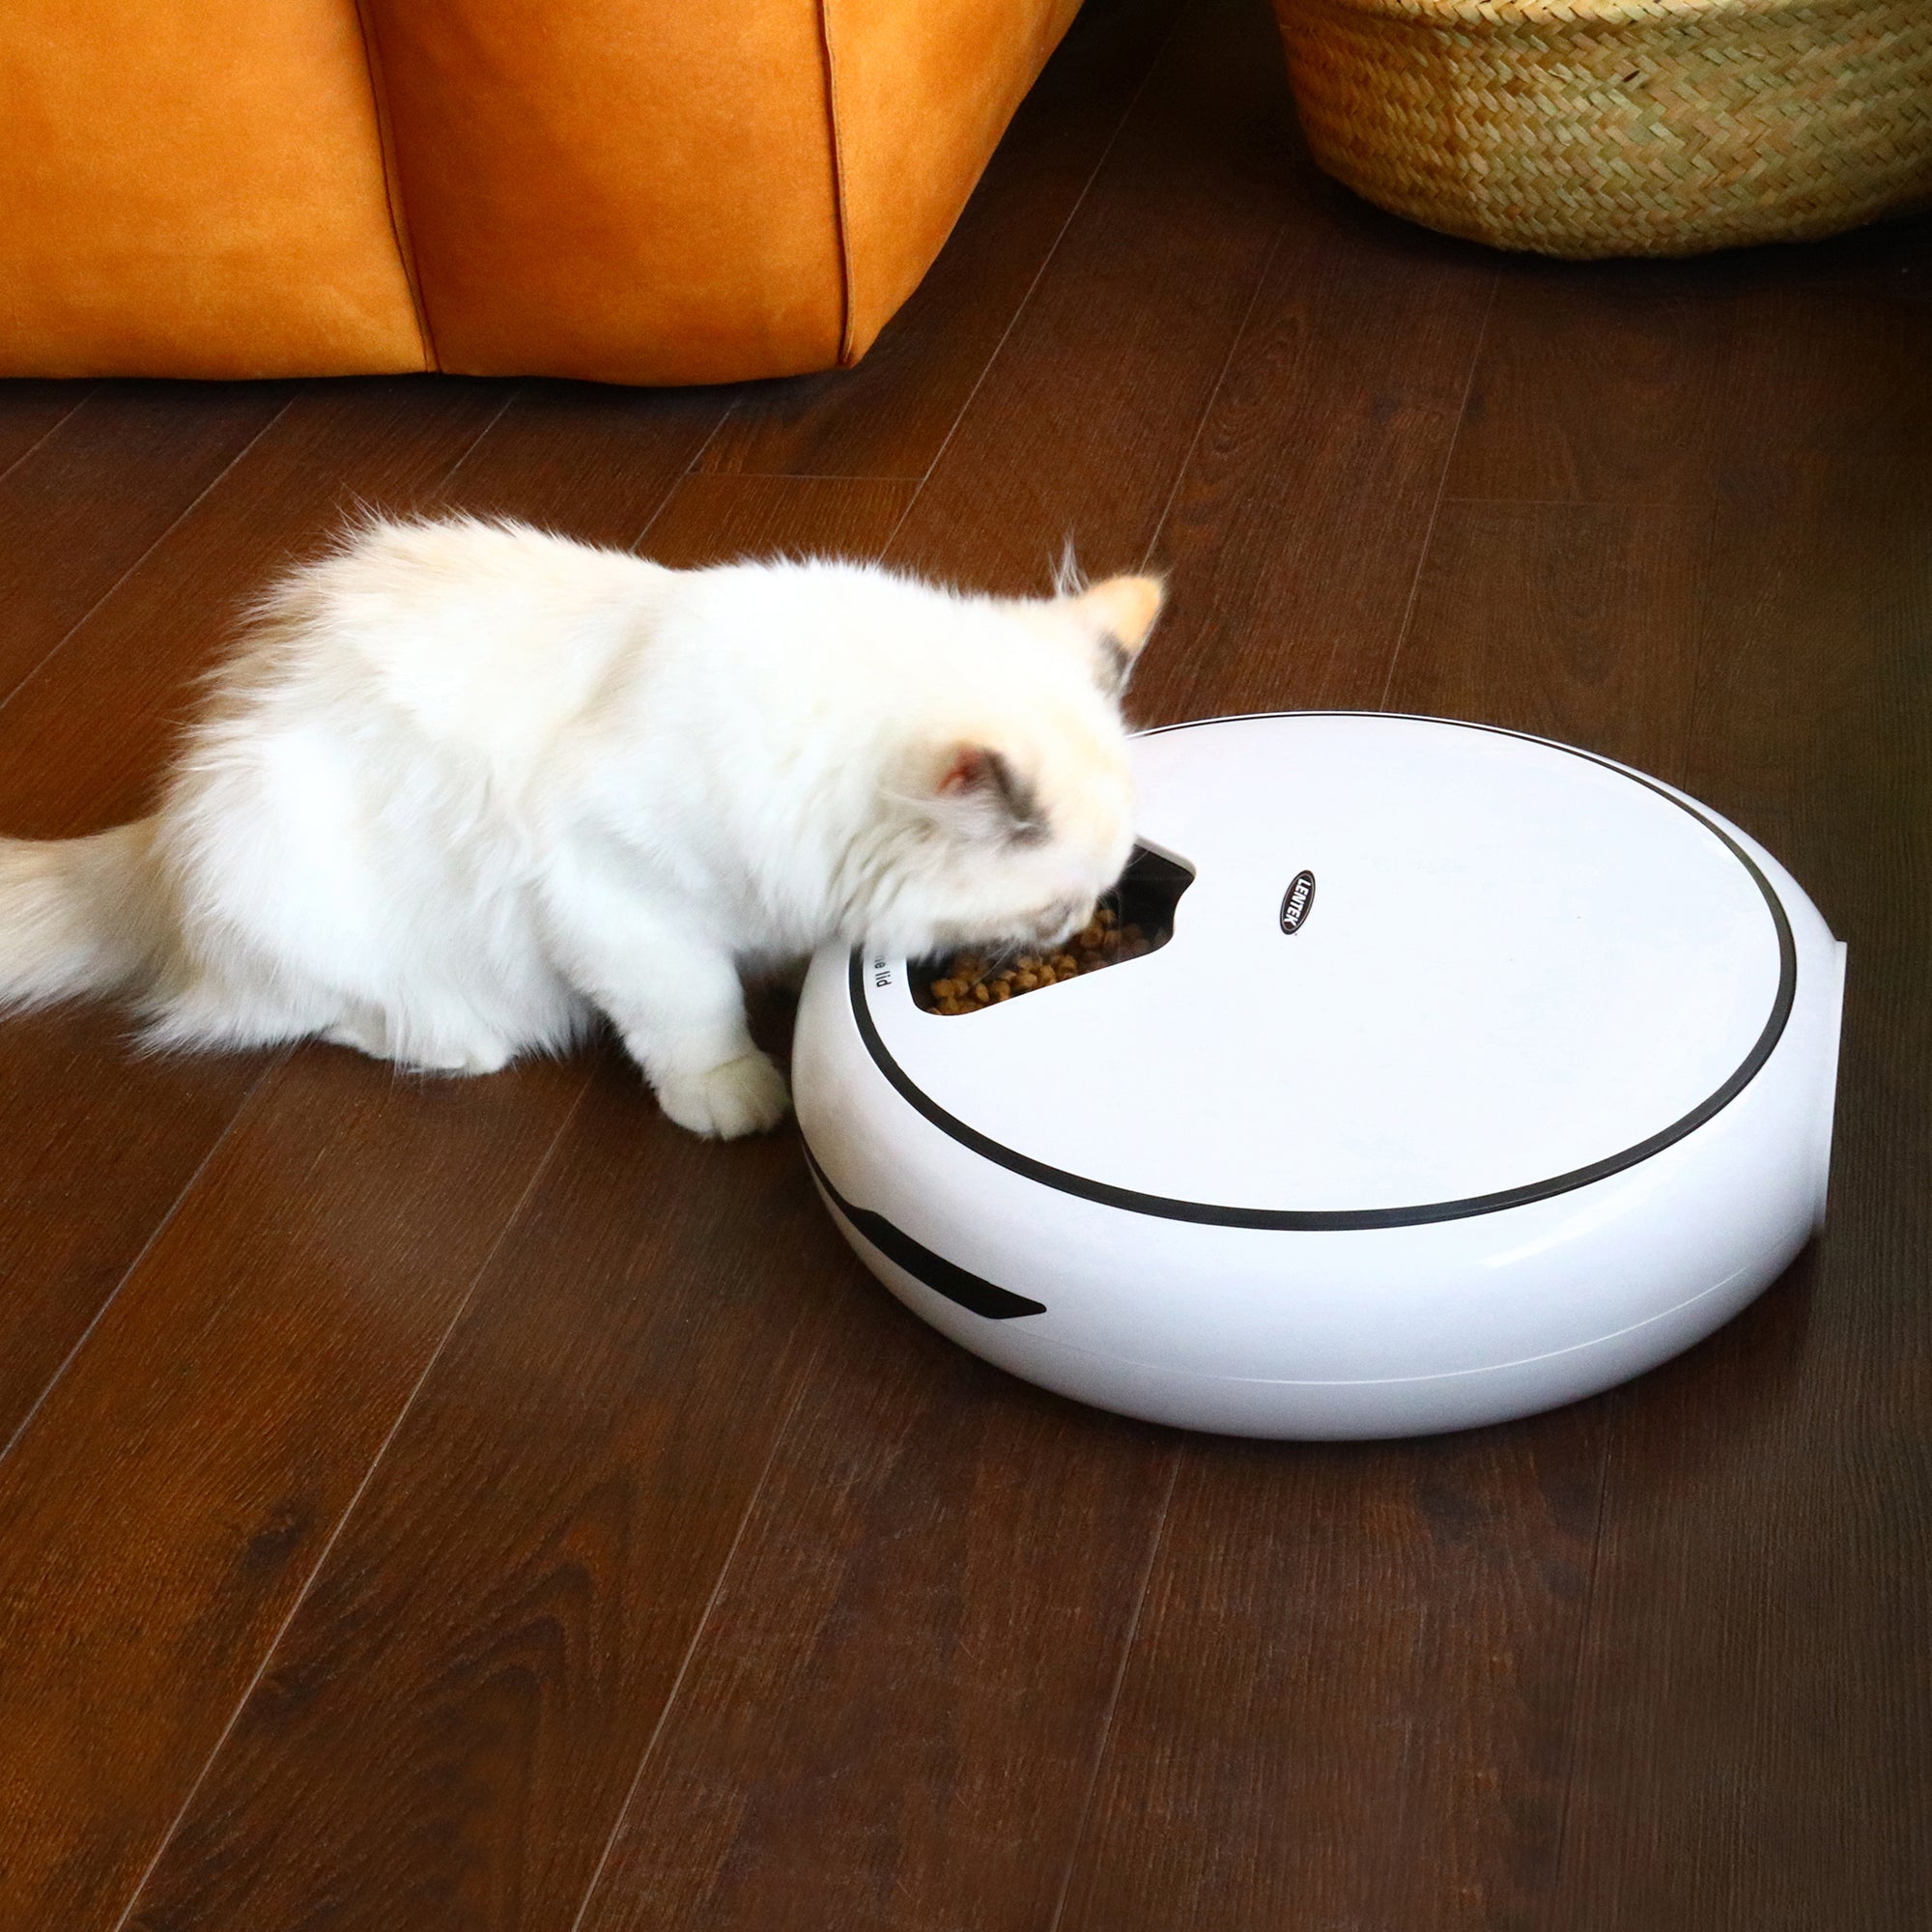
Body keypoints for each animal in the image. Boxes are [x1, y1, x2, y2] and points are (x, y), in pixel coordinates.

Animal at [0, 522, 1159, 1136]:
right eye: (1053, 909)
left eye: (1088, 905)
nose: (1077, 932)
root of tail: (160, 830)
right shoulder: (615, 902)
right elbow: (693, 1010)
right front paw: (736, 1092)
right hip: (291, 874)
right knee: (311, 1015)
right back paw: (455, 1038)